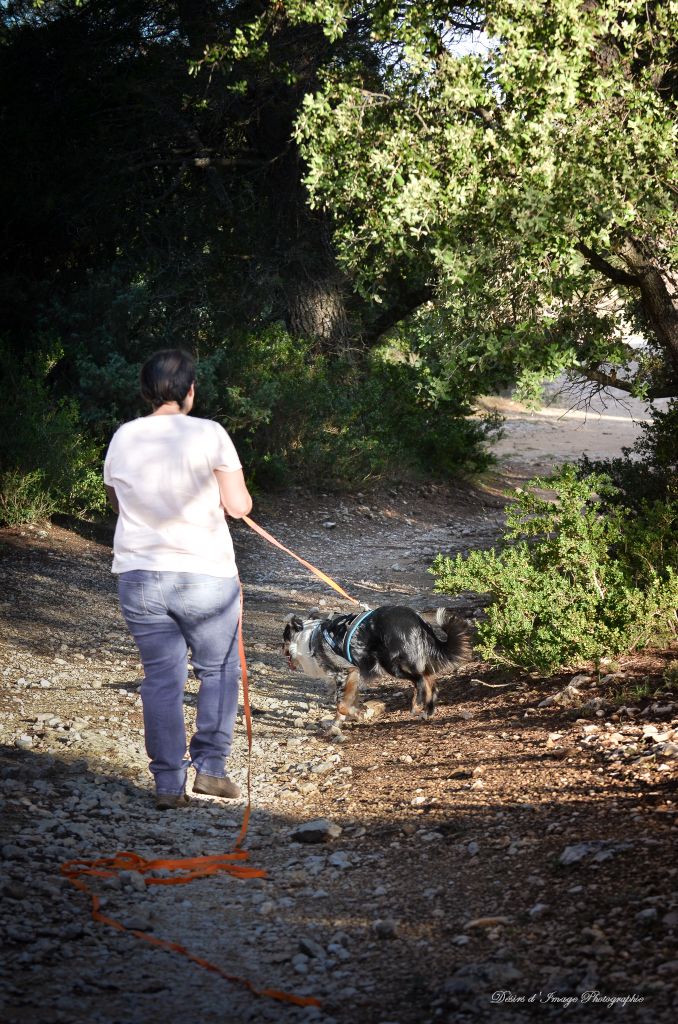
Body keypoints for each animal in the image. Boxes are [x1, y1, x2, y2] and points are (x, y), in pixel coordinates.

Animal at [284, 606, 471, 729]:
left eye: (284, 639)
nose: (281, 650)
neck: (307, 638)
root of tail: (416, 619)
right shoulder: (354, 676)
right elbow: (348, 702)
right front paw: (349, 718)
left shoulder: (345, 672)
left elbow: (341, 704)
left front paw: (349, 718)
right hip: (410, 661)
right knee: (430, 680)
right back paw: (428, 711)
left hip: (391, 663)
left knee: (420, 680)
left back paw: (416, 706)